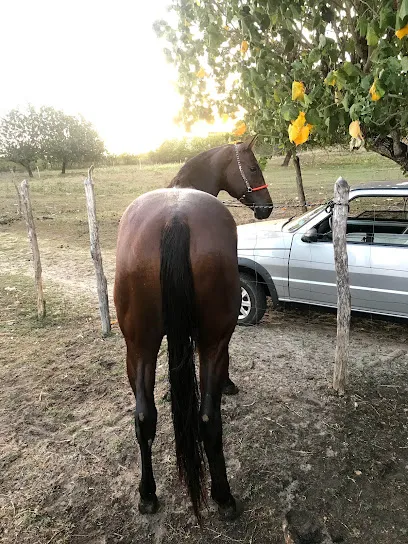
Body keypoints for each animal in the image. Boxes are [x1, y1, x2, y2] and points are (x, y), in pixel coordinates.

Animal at [114, 139, 274, 520]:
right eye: (254, 167)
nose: (267, 207)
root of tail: (175, 218)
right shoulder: (214, 341)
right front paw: (228, 384)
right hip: (212, 342)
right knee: (207, 420)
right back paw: (224, 496)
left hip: (139, 347)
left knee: (144, 419)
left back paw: (148, 494)